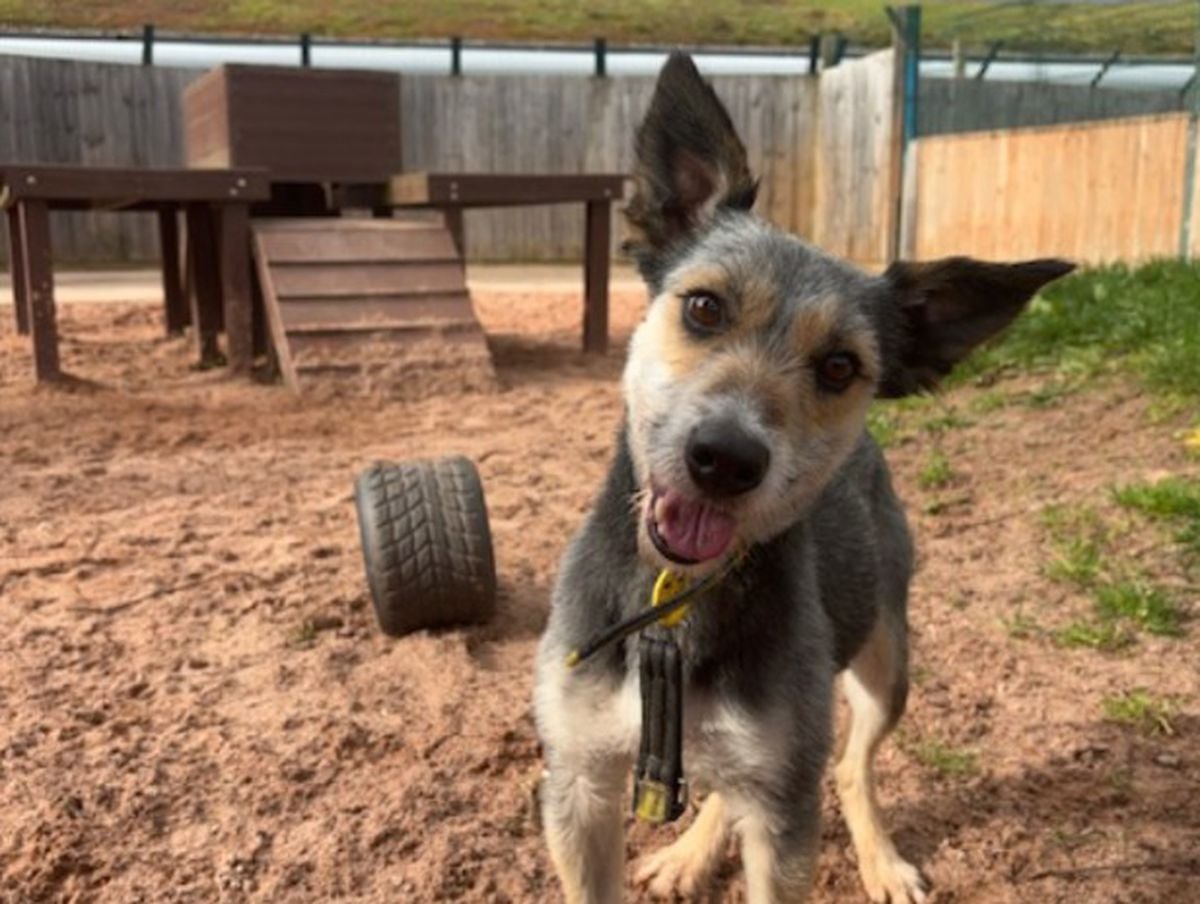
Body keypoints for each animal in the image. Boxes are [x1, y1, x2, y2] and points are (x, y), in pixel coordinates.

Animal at [532, 52, 1070, 897]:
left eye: (840, 366)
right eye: (704, 308)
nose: (725, 458)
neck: (677, 604)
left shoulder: (784, 801)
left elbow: (788, 800)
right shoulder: (577, 781)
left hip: (884, 666)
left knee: (848, 767)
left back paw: (879, 861)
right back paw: (690, 854)